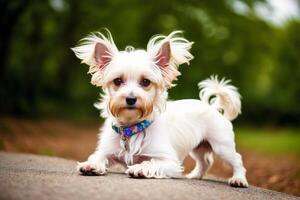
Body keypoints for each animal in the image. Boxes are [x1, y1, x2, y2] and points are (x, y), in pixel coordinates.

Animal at [72, 29, 248, 188]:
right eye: (117, 81)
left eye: (145, 82)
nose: (131, 99)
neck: (132, 127)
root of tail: (212, 107)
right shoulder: (106, 151)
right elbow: (98, 157)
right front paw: (91, 165)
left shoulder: (170, 161)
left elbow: (151, 163)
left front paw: (139, 169)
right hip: (199, 147)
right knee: (205, 161)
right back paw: (196, 175)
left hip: (222, 146)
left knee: (237, 160)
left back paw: (239, 179)